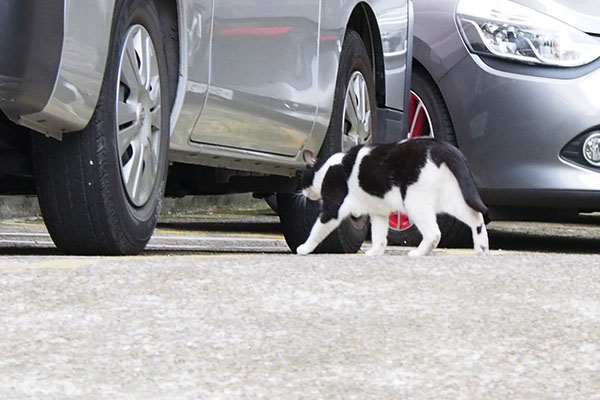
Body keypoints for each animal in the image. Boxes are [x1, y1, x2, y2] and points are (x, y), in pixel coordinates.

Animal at [298, 138, 490, 256]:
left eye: (302, 178)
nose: (302, 193)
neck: (326, 169)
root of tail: (441, 146)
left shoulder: (333, 208)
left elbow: (317, 230)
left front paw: (304, 248)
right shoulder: (378, 211)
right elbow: (379, 235)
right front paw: (375, 252)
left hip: (414, 202)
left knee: (434, 233)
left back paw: (418, 253)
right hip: (451, 199)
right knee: (476, 217)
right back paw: (481, 248)